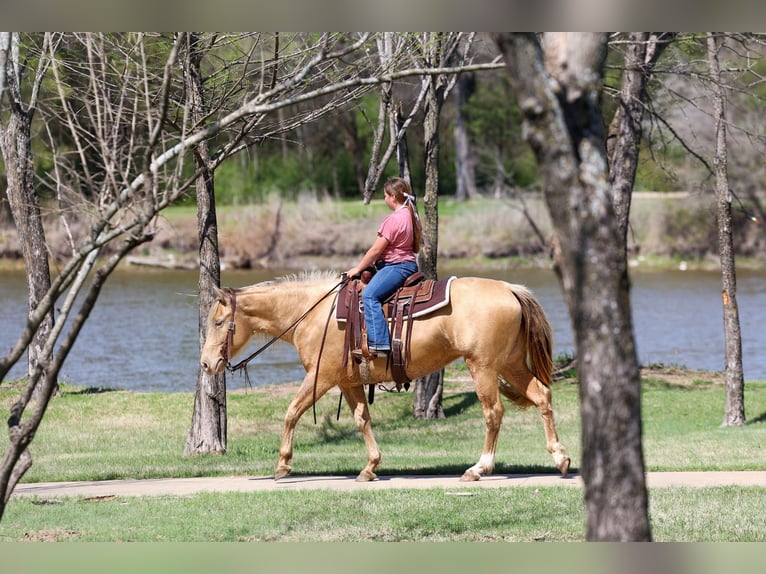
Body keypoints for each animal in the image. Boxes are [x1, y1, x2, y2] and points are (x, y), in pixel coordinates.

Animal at [200, 271, 570, 482]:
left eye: (218, 322)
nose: (205, 364)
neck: (314, 312)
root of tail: (509, 288)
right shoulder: (348, 381)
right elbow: (363, 419)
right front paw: (370, 467)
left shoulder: (321, 376)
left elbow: (292, 412)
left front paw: (283, 465)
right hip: (510, 364)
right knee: (542, 396)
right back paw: (560, 457)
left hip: (483, 366)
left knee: (493, 413)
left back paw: (479, 468)